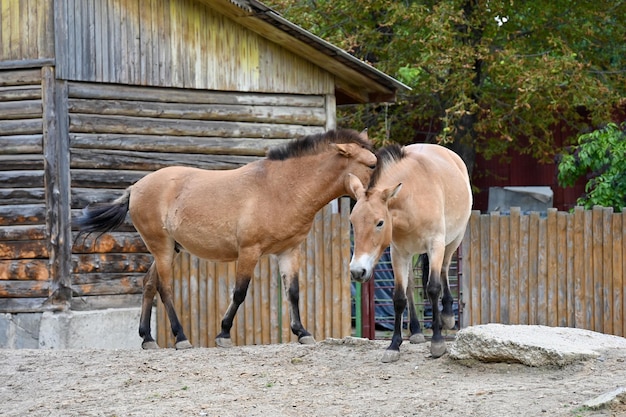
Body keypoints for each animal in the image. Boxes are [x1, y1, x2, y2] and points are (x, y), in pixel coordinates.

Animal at [75, 128, 372, 350]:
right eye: (371, 164)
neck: (281, 187)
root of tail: (135, 188)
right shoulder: (249, 252)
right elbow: (239, 292)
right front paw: (224, 334)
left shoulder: (289, 251)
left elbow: (293, 292)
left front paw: (302, 332)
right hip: (162, 249)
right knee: (165, 288)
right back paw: (181, 337)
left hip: (167, 249)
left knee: (149, 284)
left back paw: (147, 338)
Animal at [346, 141, 468, 360]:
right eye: (352, 221)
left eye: (380, 223)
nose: (358, 271)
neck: (413, 199)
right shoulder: (398, 253)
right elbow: (399, 297)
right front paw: (394, 345)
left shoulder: (435, 245)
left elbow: (433, 288)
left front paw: (437, 343)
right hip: (411, 254)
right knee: (411, 285)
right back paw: (417, 331)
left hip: (454, 240)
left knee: (444, 269)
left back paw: (447, 315)